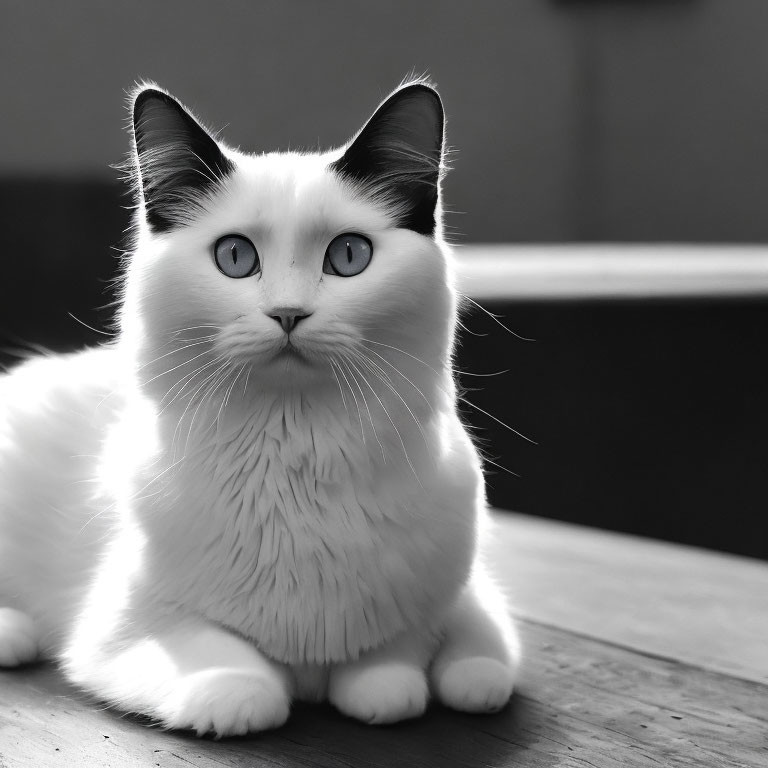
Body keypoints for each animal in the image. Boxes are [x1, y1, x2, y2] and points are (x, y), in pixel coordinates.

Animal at [0, 79, 520, 736]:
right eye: (234, 257)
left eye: (349, 256)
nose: (288, 313)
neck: (297, 462)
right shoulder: (120, 630)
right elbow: (243, 678)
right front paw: (262, 692)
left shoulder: (461, 590)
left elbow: (444, 659)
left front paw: (398, 680)